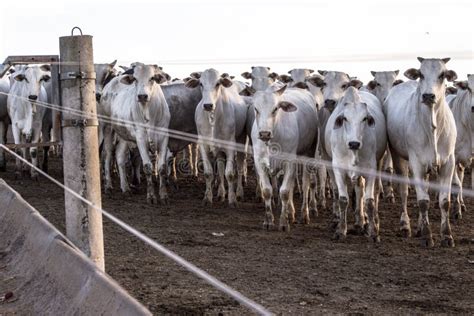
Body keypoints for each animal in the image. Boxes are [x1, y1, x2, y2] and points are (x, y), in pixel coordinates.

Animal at [106, 63, 170, 204]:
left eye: (152, 78)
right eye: (135, 79)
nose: (142, 96)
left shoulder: (164, 137)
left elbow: (162, 167)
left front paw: (163, 195)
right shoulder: (140, 139)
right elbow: (147, 167)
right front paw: (151, 196)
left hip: (124, 135)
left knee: (119, 157)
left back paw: (125, 187)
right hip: (106, 128)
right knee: (107, 155)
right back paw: (108, 185)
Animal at [185, 69, 248, 206]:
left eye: (218, 83)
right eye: (201, 84)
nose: (208, 105)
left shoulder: (231, 145)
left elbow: (230, 174)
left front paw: (232, 199)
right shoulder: (203, 145)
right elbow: (209, 173)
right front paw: (207, 198)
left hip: (241, 140)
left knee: (240, 166)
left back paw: (239, 192)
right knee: (220, 166)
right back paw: (220, 193)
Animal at [252, 85, 318, 231]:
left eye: (275, 109)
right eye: (256, 109)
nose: (264, 133)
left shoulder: (290, 162)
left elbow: (285, 192)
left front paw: (283, 223)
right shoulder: (259, 162)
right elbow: (267, 191)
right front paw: (268, 221)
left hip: (309, 153)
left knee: (305, 184)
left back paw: (304, 215)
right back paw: (291, 212)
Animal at [324, 87, 386, 241]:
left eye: (364, 118)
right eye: (345, 118)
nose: (354, 143)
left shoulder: (371, 169)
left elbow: (369, 201)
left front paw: (373, 232)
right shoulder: (338, 169)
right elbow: (343, 200)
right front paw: (341, 230)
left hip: (380, 162)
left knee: (371, 192)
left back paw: (368, 221)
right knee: (357, 189)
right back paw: (358, 222)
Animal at [386, 58, 460, 248]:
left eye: (442, 74)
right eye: (421, 74)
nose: (428, 96)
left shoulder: (449, 162)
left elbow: (444, 202)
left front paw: (447, 236)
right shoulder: (416, 162)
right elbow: (423, 201)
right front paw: (427, 236)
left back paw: (419, 226)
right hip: (398, 157)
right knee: (404, 191)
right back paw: (406, 225)